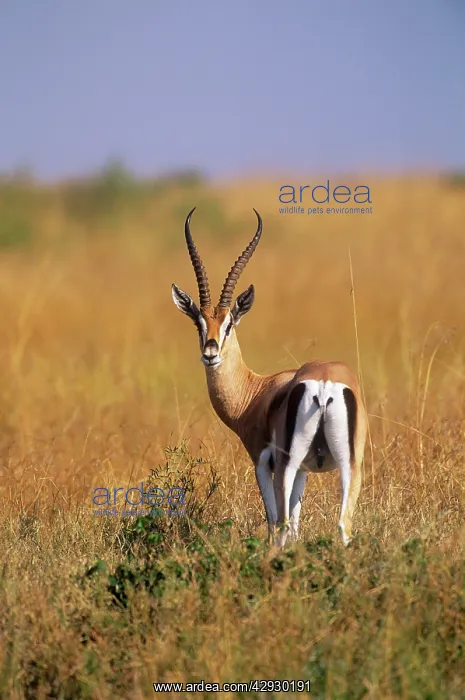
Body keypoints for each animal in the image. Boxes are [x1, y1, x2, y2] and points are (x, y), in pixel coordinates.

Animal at [172, 208, 367, 547]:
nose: (210, 353)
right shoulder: (304, 470)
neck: (256, 393)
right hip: (349, 464)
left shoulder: (263, 462)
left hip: (288, 464)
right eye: (199, 323)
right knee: (343, 524)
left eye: (229, 324)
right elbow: (298, 522)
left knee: (283, 523)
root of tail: (325, 384)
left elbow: (275, 520)